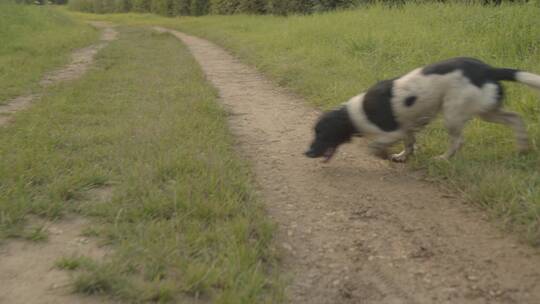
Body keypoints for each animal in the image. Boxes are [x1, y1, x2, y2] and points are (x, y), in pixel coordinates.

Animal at [306, 56, 536, 162]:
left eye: (322, 134)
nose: (306, 153)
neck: (353, 114)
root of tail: (488, 69)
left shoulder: (394, 132)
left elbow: (374, 146)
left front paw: (384, 155)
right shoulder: (406, 128)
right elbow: (409, 144)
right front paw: (401, 157)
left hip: (453, 113)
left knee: (458, 141)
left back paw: (443, 158)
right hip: (487, 110)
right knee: (516, 118)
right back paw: (523, 148)